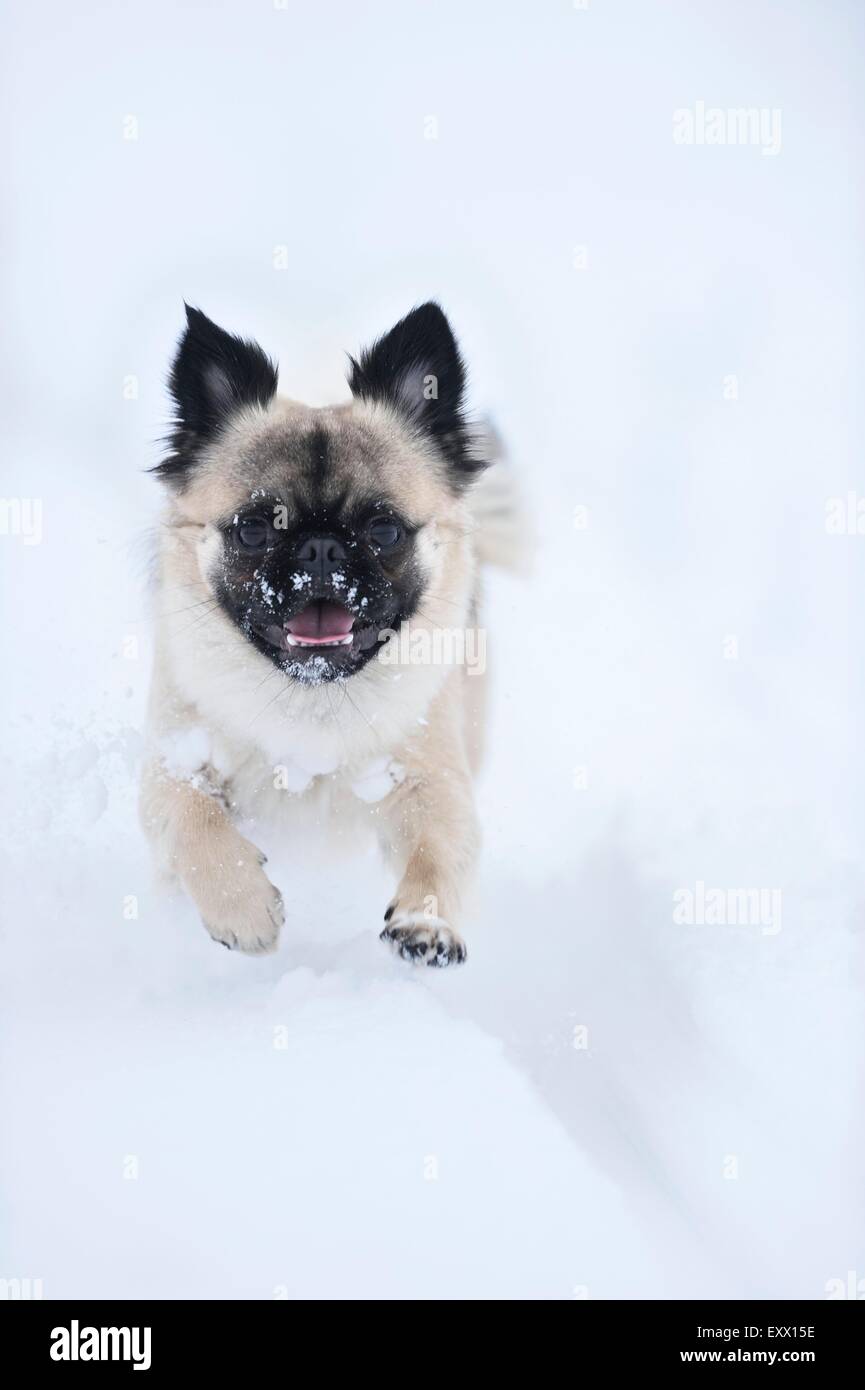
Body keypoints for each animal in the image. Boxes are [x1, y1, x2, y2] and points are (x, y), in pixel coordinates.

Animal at [139, 298, 511, 961]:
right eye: (254, 529)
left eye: (383, 530)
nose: (320, 548)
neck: (311, 697)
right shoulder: (171, 764)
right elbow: (194, 819)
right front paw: (244, 907)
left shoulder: (434, 781)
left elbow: (437, 850)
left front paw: (427, 922)